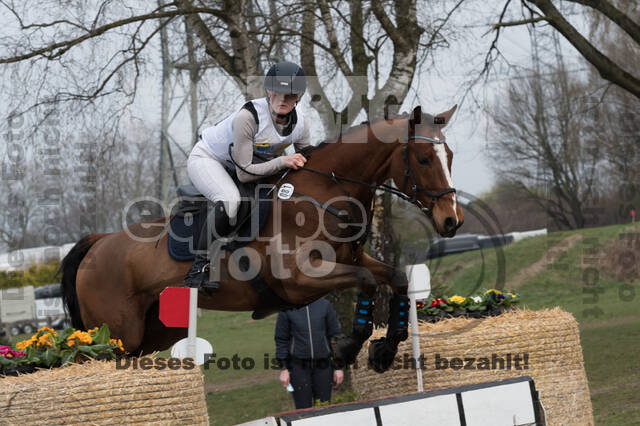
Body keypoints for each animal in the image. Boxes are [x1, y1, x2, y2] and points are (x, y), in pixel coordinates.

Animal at [60, 105, 462, 372]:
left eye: (450, 155)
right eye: (424, 159)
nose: (452, 221)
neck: (325, 193)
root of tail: (99, 242)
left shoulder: (349, 259)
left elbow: (393, 277)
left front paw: (385, 349)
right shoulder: (300, 280)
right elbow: (365, 281)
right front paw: (348, 347)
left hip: (151, 334)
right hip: (118, 335)